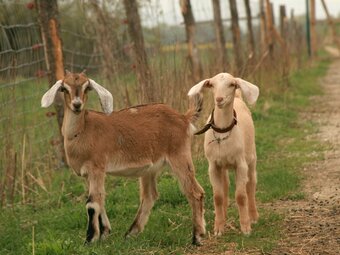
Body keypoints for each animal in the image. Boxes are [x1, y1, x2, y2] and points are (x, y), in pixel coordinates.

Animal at [39, 71, 205, 245]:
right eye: (64, 88)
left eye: (86, 87)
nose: (77, 105)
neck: (82, 131)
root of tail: (183, 118)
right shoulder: (88, 174)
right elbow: (100, 199)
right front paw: (104, 233)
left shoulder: (96, 167)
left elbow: (92, 203)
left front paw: (90, 239)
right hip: (150, 168)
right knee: (150, 196)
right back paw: (131, 233)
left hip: (179, 154)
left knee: (194, 192)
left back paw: (197, 236)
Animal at [189, 72, 258, 236]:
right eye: (212, 85)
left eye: (232, 84)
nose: (219, 99)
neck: (222, 132)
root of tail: (239, 98)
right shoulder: (213, 165)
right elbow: (218, 196)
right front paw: (218, 228)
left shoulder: (240, 164)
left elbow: (241, 196)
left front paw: (245, 228)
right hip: (224, 166)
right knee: (226, 186)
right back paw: (224, 217)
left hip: (251, 158)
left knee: (251, 185)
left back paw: (253, 216)